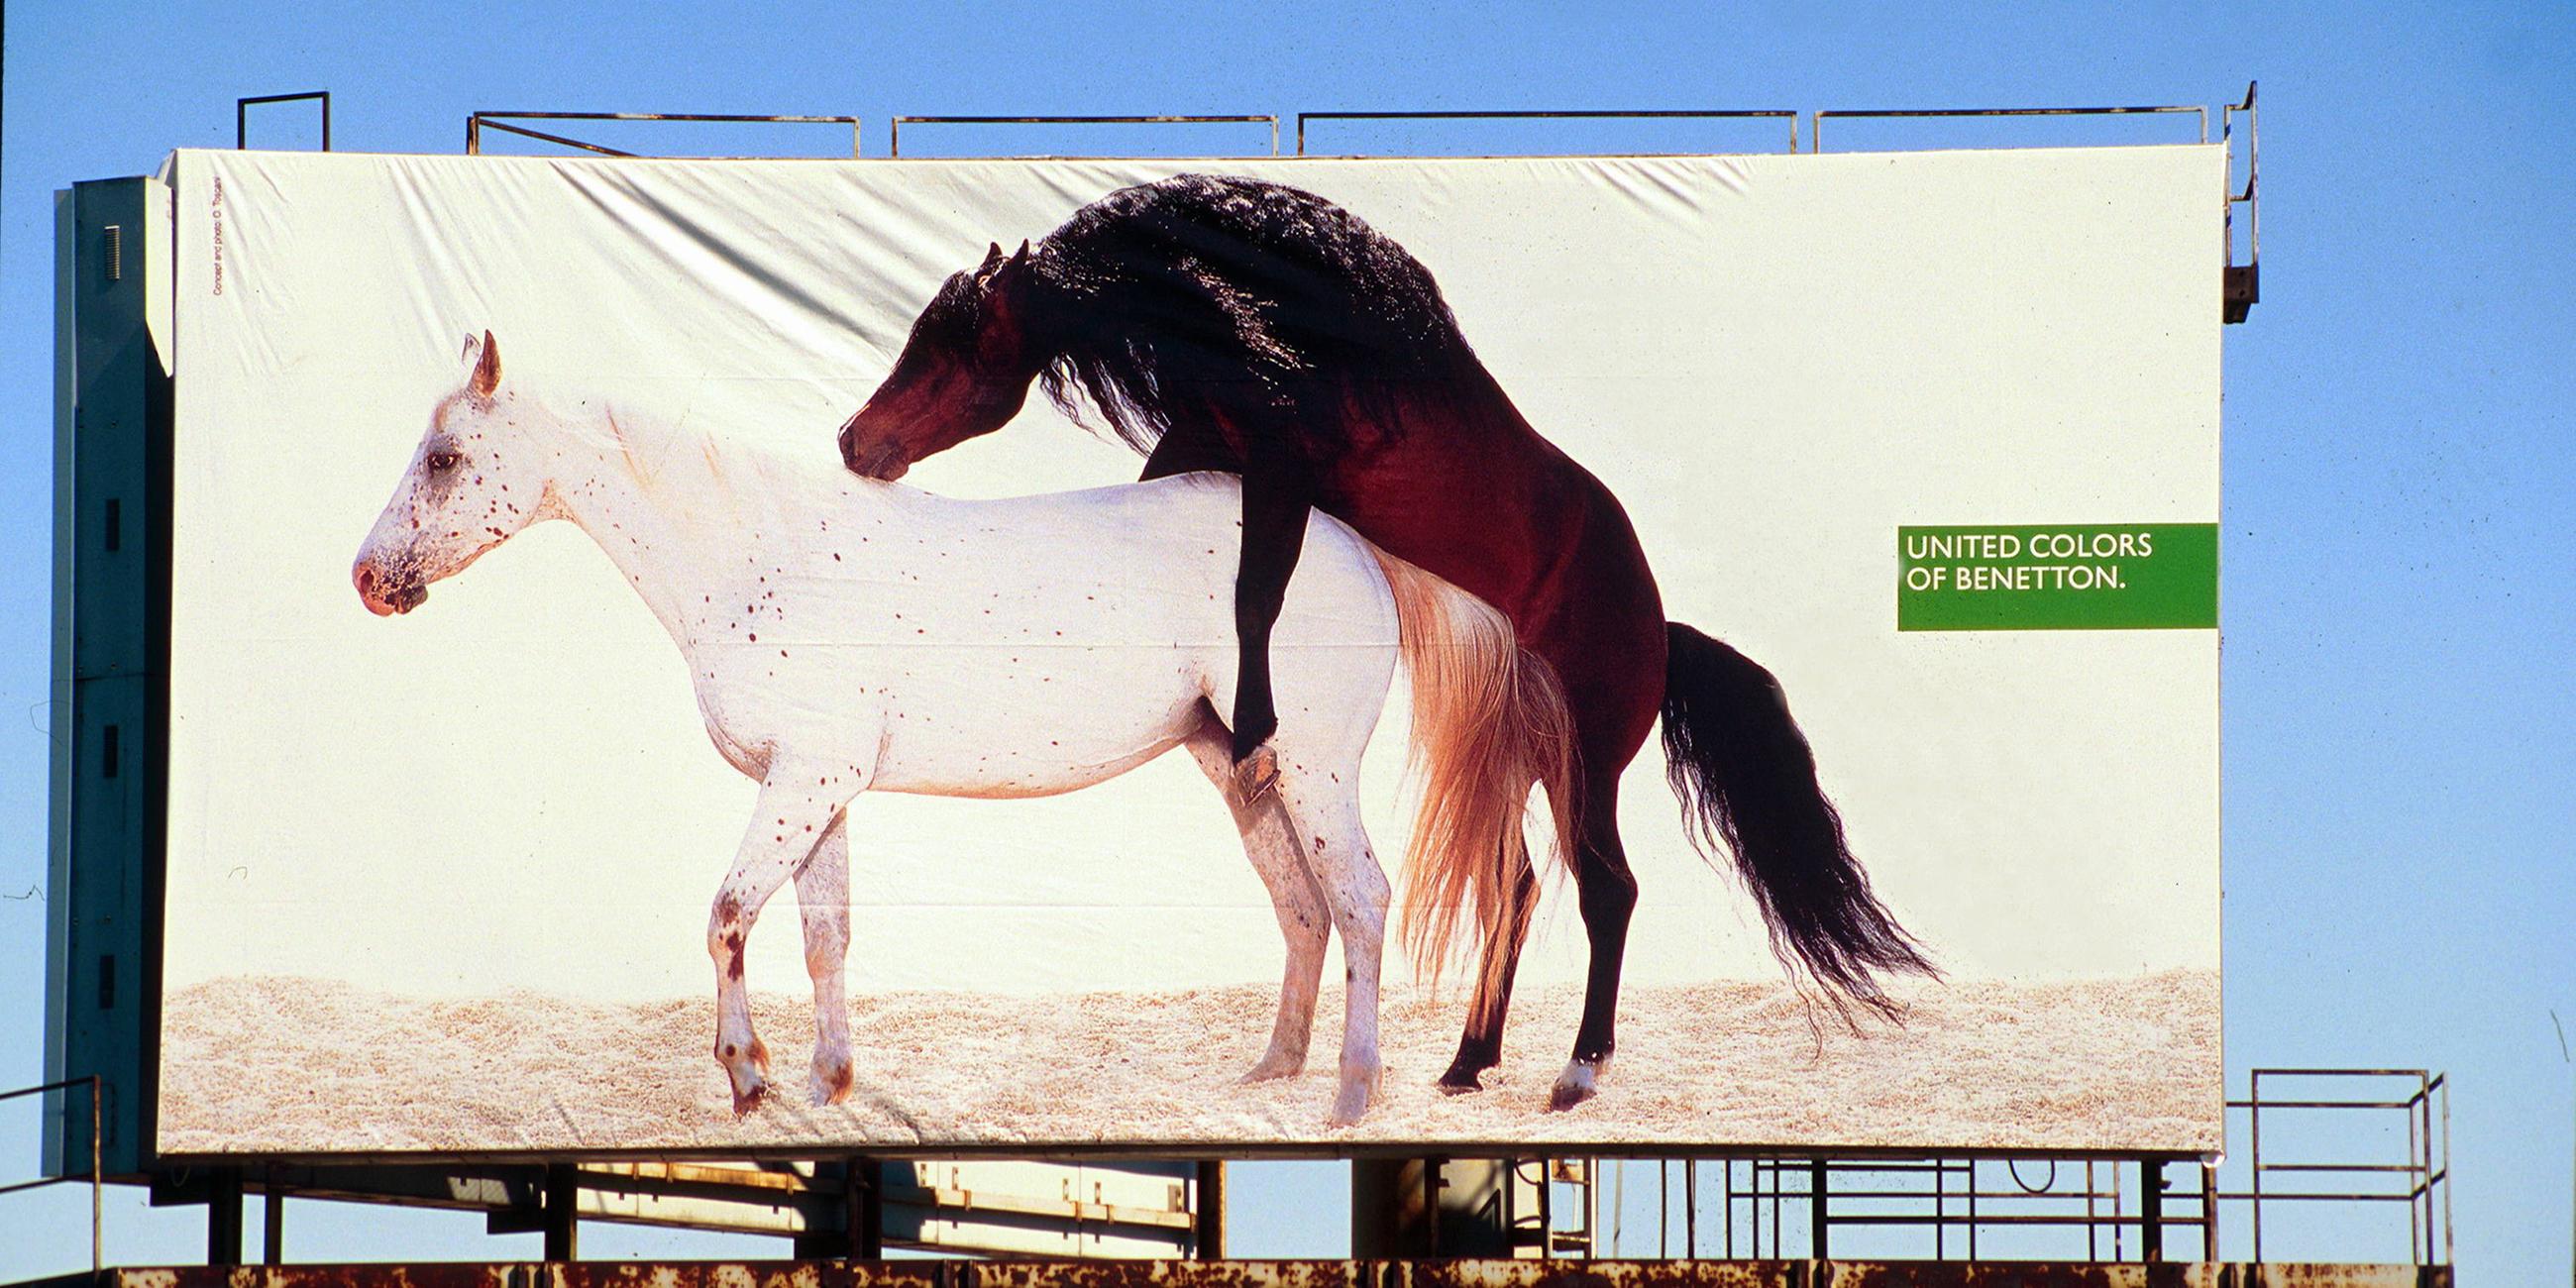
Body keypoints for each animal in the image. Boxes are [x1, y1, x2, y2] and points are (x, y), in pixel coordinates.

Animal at [348, 335, 1565, 1127]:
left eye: (445, 459)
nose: (367, 577)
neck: (763, 555)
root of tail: (1358, 545)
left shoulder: (800, 785)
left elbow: (728, 916)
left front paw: (747, 1077)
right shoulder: (819, 790)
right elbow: (823, 935)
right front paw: (827, 1082)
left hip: (1314, 769)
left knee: (1358, 899)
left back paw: (1353, 1095)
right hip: (1241, 767)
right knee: (1301, 908)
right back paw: (1271, 1070)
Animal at [844, 173, 1937, 1108]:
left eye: (945, 346)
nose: (855, 442)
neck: (1300, 335)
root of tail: (1659, 630)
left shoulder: (1281, 467)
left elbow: (1256, 591)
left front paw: (1251, 726)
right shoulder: (1209, 444)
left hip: (1586, 764)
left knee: (1606, 890)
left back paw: (1576, 1070)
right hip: (1515, 757)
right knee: (1517, 885)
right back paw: (1467, 1060)